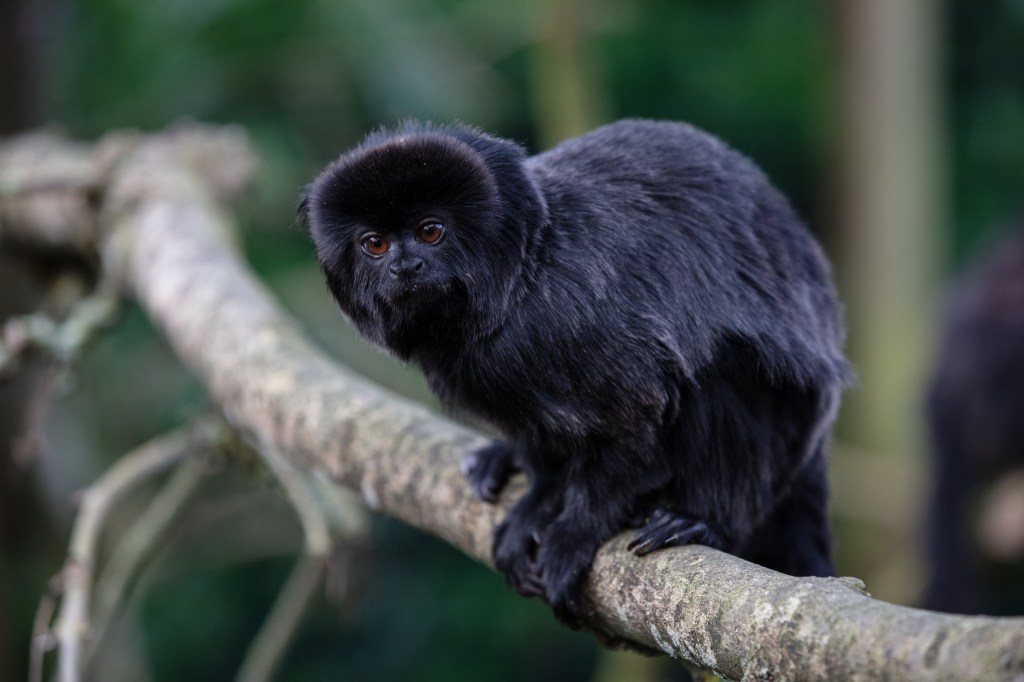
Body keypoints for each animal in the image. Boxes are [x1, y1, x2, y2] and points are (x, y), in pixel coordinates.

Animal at [299, 118, 851, 622]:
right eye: (374, 244)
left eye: (429, 232)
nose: (406, 266)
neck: (524, 271)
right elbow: (542, 443)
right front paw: (537, 502)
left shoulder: (568, 318)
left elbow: (642, 416)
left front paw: (576, 530)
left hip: (791, 427)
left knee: (726, 369)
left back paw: (704, 520)